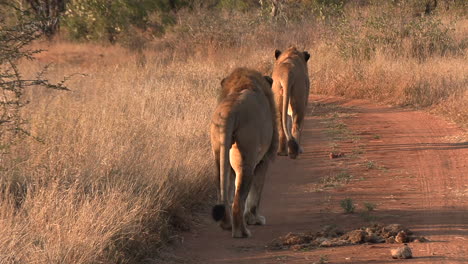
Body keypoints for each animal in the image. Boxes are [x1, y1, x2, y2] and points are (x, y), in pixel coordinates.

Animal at [209, 67, 278, 238]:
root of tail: (230, 110)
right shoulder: (263, 161)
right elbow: (256, 194)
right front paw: (254, 219)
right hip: (246, 159)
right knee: (238, 200)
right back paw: (242, 232)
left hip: (219, 153)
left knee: (224, 192)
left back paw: (227, 225)